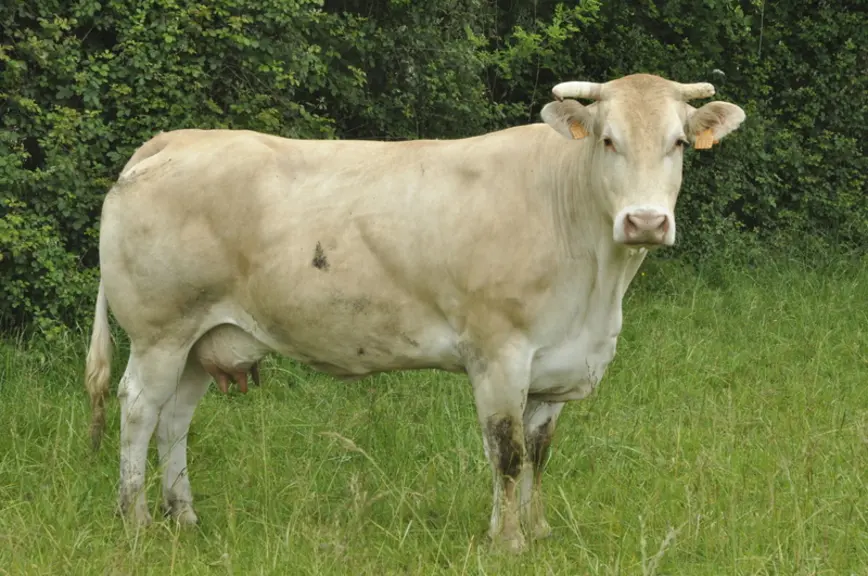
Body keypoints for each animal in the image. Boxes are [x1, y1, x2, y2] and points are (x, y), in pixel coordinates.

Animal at [84, 73, 745, 552]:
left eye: (678, 143)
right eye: (609, 140)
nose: (645, 222)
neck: (597, 286)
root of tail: (180, 138)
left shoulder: (556, 366)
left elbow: (537, 453)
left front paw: (537, 530)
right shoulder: (498, 353)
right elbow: (506, 452)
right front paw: (507, 542)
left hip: (203, 339)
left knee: (174, 422)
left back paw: (185, 518)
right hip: (160, 332)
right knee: (139, 409)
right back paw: (136, 521)